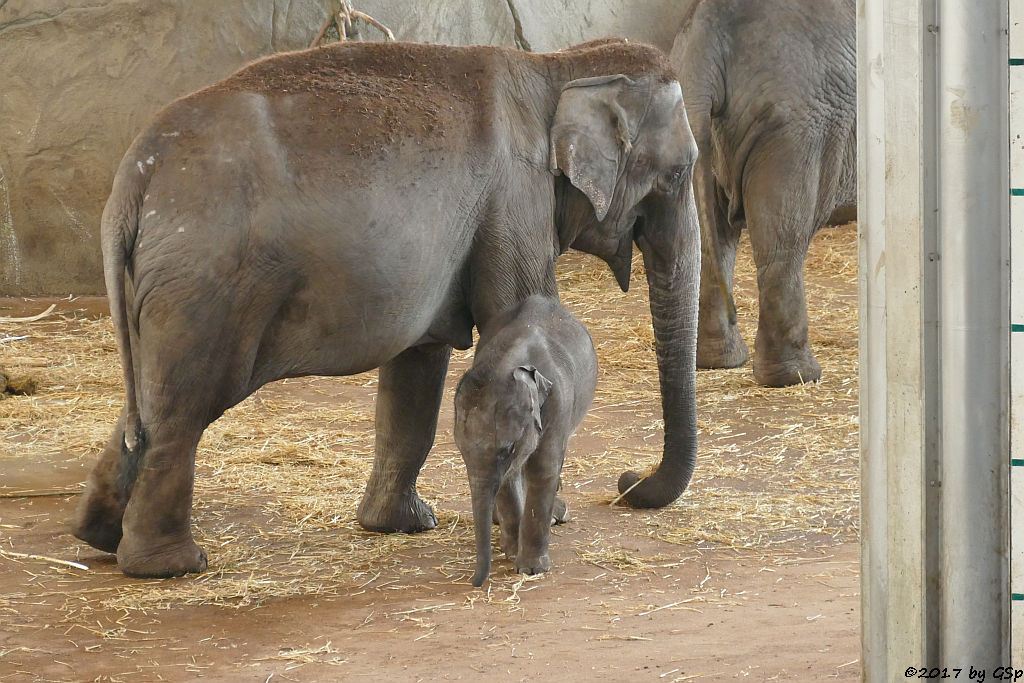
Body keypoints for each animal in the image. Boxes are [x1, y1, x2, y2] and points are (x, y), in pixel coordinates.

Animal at [458, 294, 598, 589]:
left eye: (508, 449)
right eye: (461, 452)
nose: (476, 583)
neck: (510, 361)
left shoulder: (558, 402)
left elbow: (542, 470)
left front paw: (531, 570)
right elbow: (508, 479)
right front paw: (511, 553)